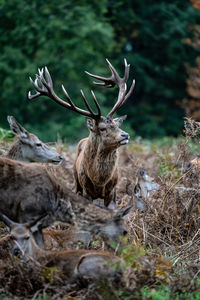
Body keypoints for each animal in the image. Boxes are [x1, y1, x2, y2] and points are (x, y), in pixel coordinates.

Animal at [27, 58, 134, 206]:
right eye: (102, 128)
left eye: (116, 125)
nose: (125, 135)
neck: (99, 181)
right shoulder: (86, 191)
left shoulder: (112, 192)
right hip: (76, 183)